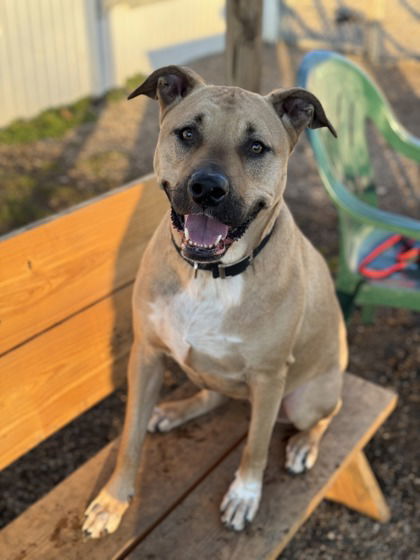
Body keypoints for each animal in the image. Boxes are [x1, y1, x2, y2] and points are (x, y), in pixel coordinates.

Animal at [82, 65, 348, 540]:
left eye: (257, 147)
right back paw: (175, 411)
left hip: (304, 398)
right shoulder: (146, 354)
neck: (209, 275)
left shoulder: (268, 377)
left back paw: (304, 444)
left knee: (326, 413)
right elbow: (130, 438)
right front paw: (114, 499)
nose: (207, 188)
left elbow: (255, 447)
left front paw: (244, 496)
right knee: (214, 396)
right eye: (187, 133)